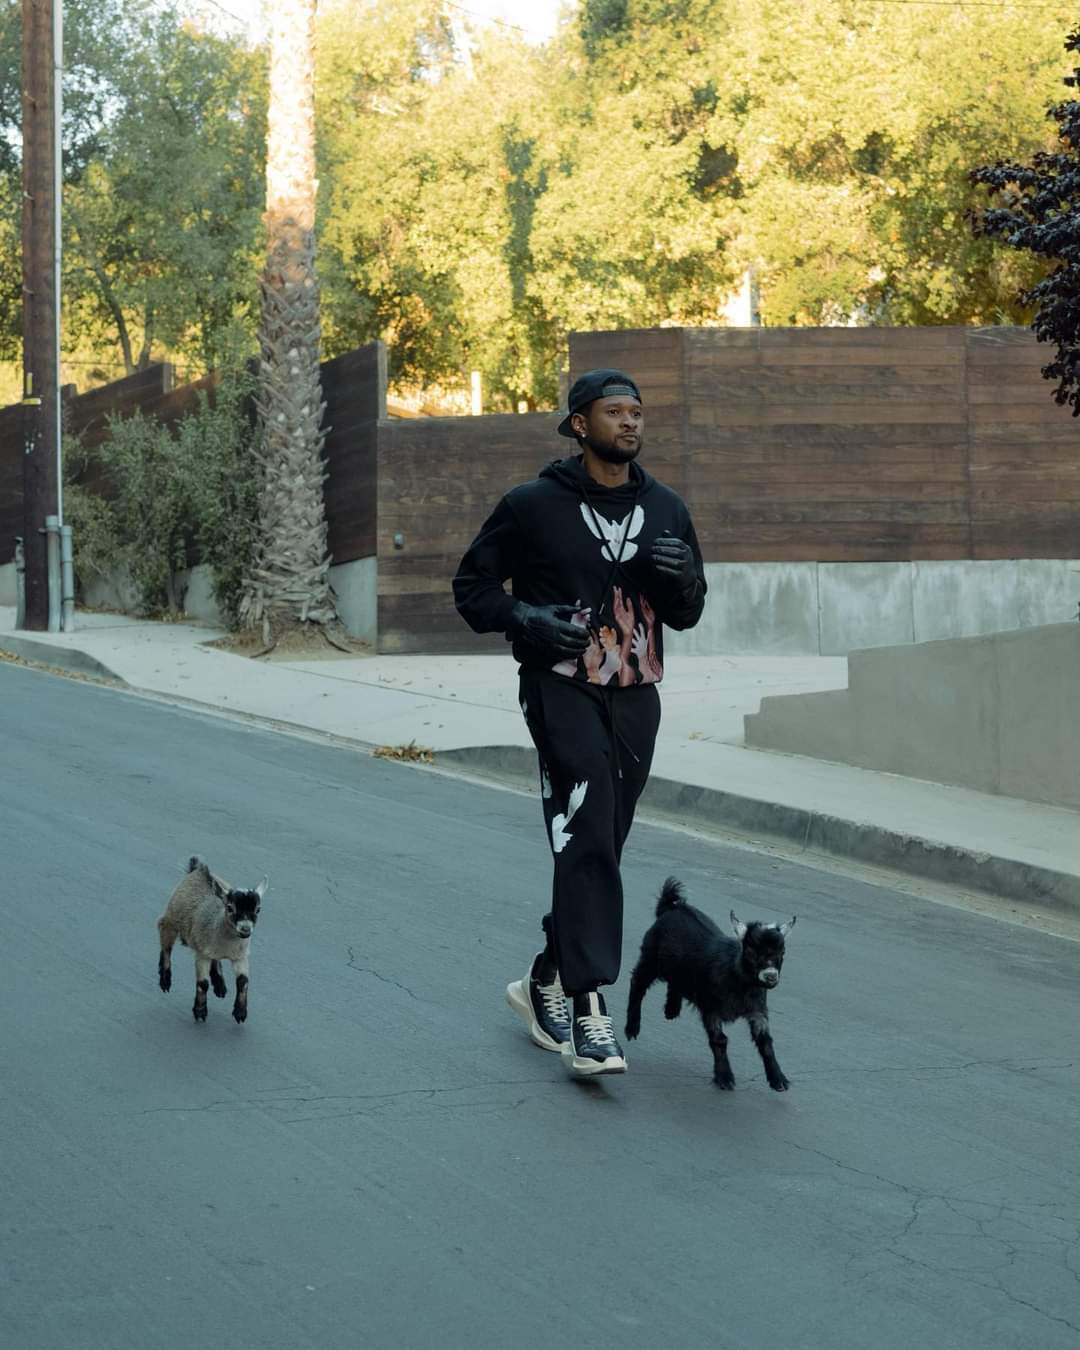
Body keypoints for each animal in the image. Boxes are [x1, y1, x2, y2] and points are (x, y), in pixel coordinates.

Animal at [155, 858, 265, 1015]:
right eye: (230, 907)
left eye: (258, 909)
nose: (245, 929)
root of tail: (198, 868)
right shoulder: (202, 955)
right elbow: (203, 983)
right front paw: (200, 1011)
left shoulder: (241, 956)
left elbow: (243, 981)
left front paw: (240, 1012)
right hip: (172, 919)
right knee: (166, 944)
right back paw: (165, 980)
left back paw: (219, 985)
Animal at [623, 880, 793, 1090]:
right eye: (751, 950)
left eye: (782, 951)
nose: (770, 976)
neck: (738, 978)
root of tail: (672, 907)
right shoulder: (711, 1008)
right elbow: (719, 1040)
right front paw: (724, 1077)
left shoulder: (757, 1010)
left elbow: (765, 1041)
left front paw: (778, 1079)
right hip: (650, 958)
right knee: (637, 982)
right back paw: (632, 1027)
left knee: (675, 981)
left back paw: (671, 1009)